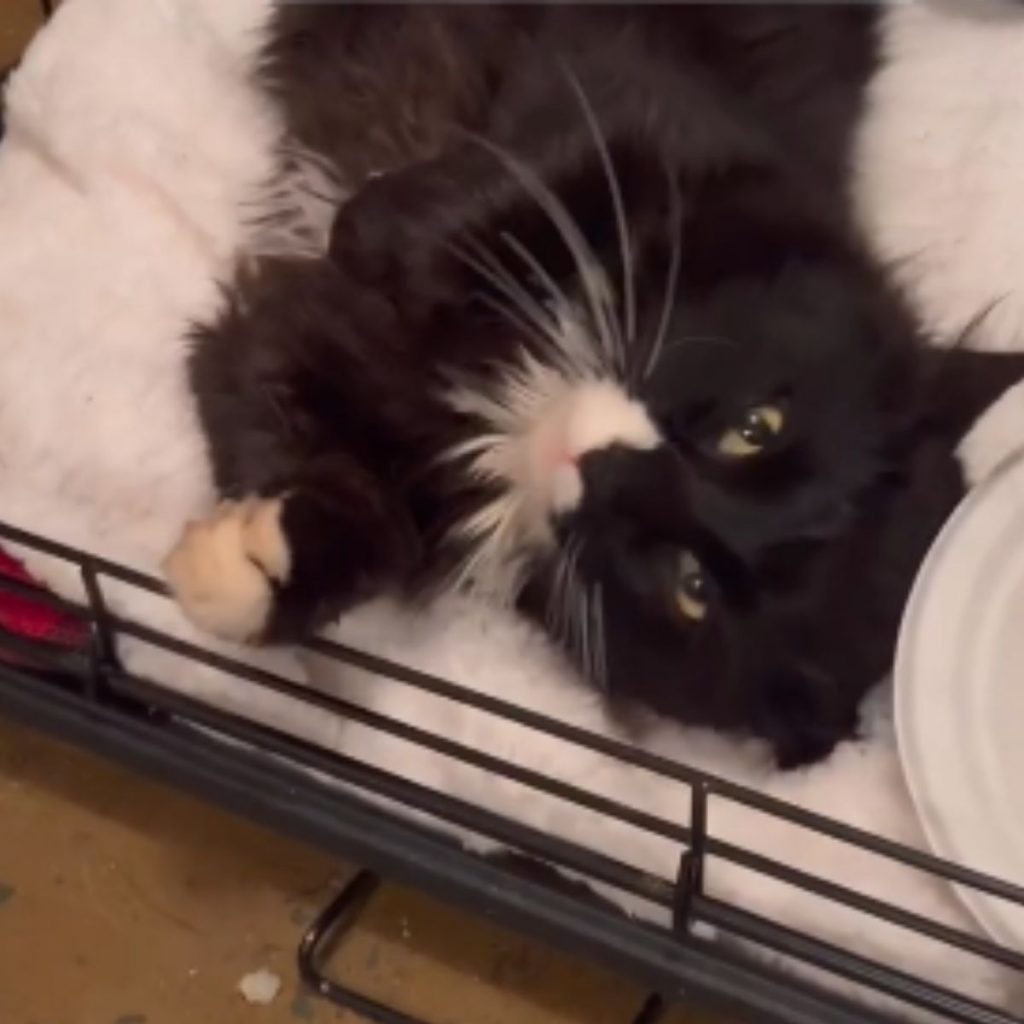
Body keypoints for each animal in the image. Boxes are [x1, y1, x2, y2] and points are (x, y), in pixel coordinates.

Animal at [163, 2, 1024, 770]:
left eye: (691, 586)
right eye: (754, 429)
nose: (603, 471)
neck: (507, 413)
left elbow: (362, 514)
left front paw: (253, 574)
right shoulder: (663, 122)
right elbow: (514, 186)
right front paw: (377, 237)